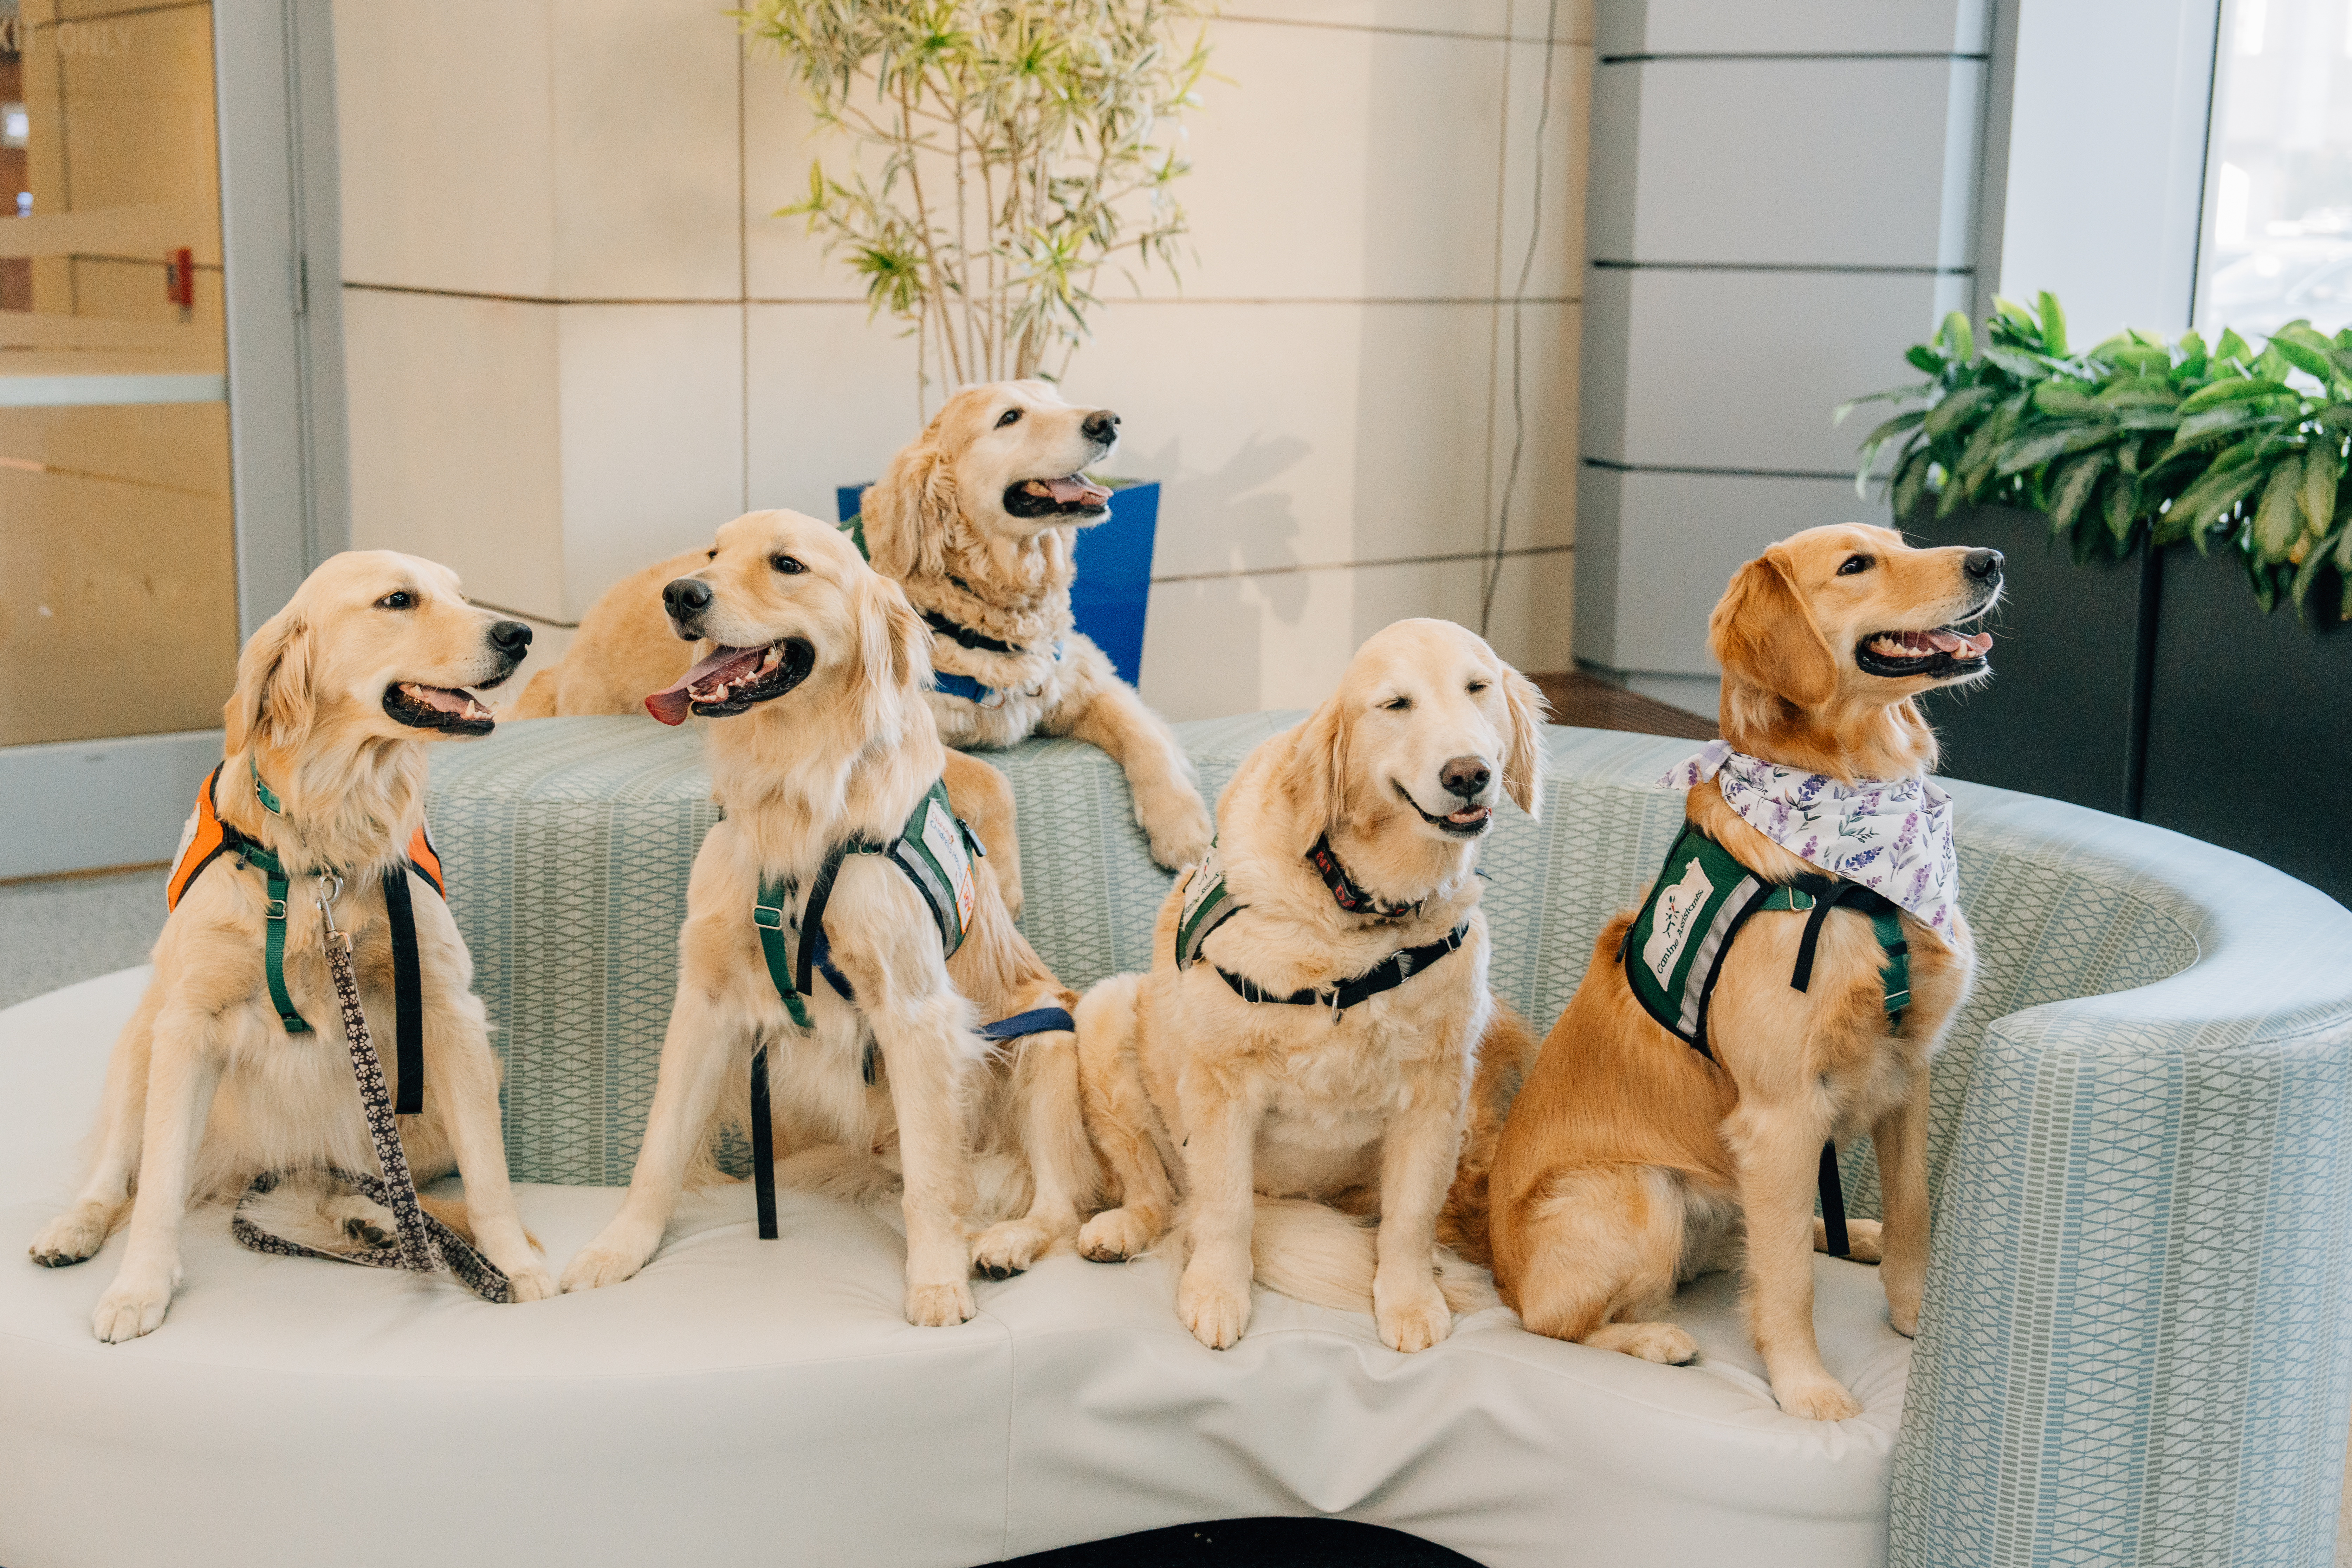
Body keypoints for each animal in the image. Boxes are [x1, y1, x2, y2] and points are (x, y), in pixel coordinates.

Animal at [30, 552, 552, 1335]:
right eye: (398, 600)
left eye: (462, 594)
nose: (519, 635)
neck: (325, 832)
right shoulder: (186, 1024)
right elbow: (157, 1187)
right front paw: (139, 1287)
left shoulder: (448, 1011)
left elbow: (488, 1175)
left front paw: (513, 1264)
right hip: (142, 1037)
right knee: (120, 1171)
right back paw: (76, 1226)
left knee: (372, 1182)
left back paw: (373, 1221)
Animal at [555, 510, 1096, 1316]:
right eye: (712, 553)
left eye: (787, 565)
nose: (679, 593)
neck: (794, 793)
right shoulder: (705, 1000)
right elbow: (660, 1148)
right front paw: (618, 1248)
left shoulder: (914, 1007)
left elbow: (932, 1183)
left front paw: (936, 1282)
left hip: (1047, 1040)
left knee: (1055, 1203)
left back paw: (1004, 1242)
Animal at [1077, 616, 1552, 1354]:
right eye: (1395, 705)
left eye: (1477, 688)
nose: (1468, 774)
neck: (1357, 913)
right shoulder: (1221, 1083)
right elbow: (1224, 1209)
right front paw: (1216, 1292)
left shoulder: (1436, 1092)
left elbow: (1410, 1218)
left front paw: (1409, 1300)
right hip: (1105, 1017)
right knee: (1161, 1192)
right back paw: (1123, 1225)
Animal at [1486, 524, 1985, 1420]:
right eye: (1855, 565)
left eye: (1902, 542)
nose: (1991, 562)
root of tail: (1493, 1259)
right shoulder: (1781, 1113)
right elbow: (1788, 1283)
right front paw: (1807, 1387)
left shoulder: (1906, 1072)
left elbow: (1913, 1211)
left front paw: (1913, 1313)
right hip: (1643, 1195)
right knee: (1551, 1317)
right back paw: (1653, 1336)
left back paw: (1850, 1233)